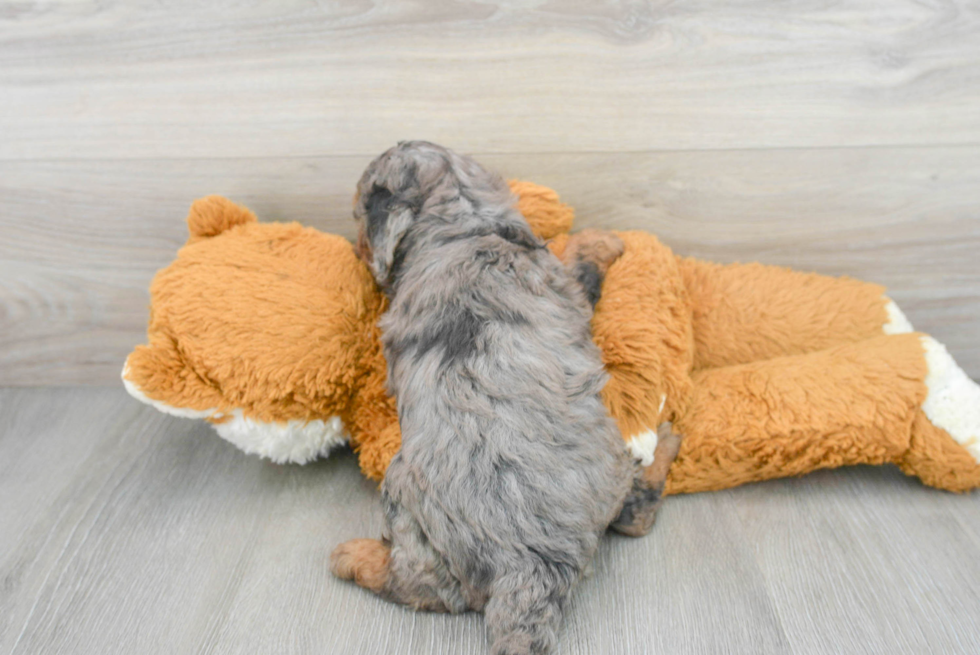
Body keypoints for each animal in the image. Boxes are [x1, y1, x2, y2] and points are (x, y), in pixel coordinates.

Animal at [334, 141, 664, 652]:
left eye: (358, 219)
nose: (355, 249)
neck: (464, 223)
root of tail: (530, 567)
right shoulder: (562, 283)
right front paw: (604, 239)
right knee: (635, 515)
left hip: (409, 502)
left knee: (420, 586)